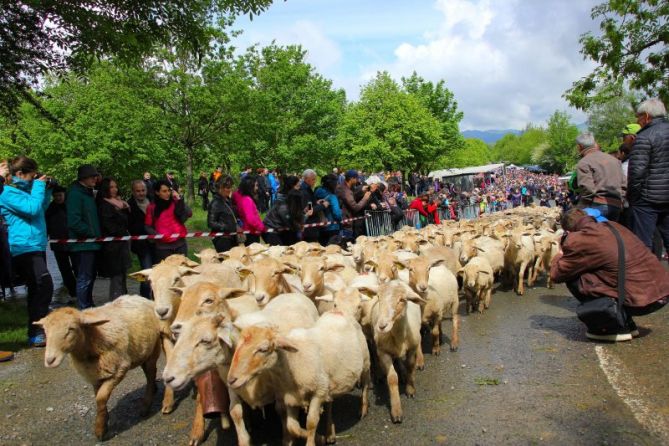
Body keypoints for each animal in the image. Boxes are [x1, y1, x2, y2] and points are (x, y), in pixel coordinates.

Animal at [35, 296, 163, 440]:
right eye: (45, 330)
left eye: (71, 329)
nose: (50, 360)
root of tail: (143, 298)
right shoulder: (95, 375)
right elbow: (98, 398)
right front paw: (104, 419)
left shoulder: (119, 370)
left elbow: (101, 398)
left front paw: (100, 430)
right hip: (142, 351)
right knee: (147, 372)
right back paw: (153, 390)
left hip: (154, 349)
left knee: (151, 373)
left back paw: (146, 405)